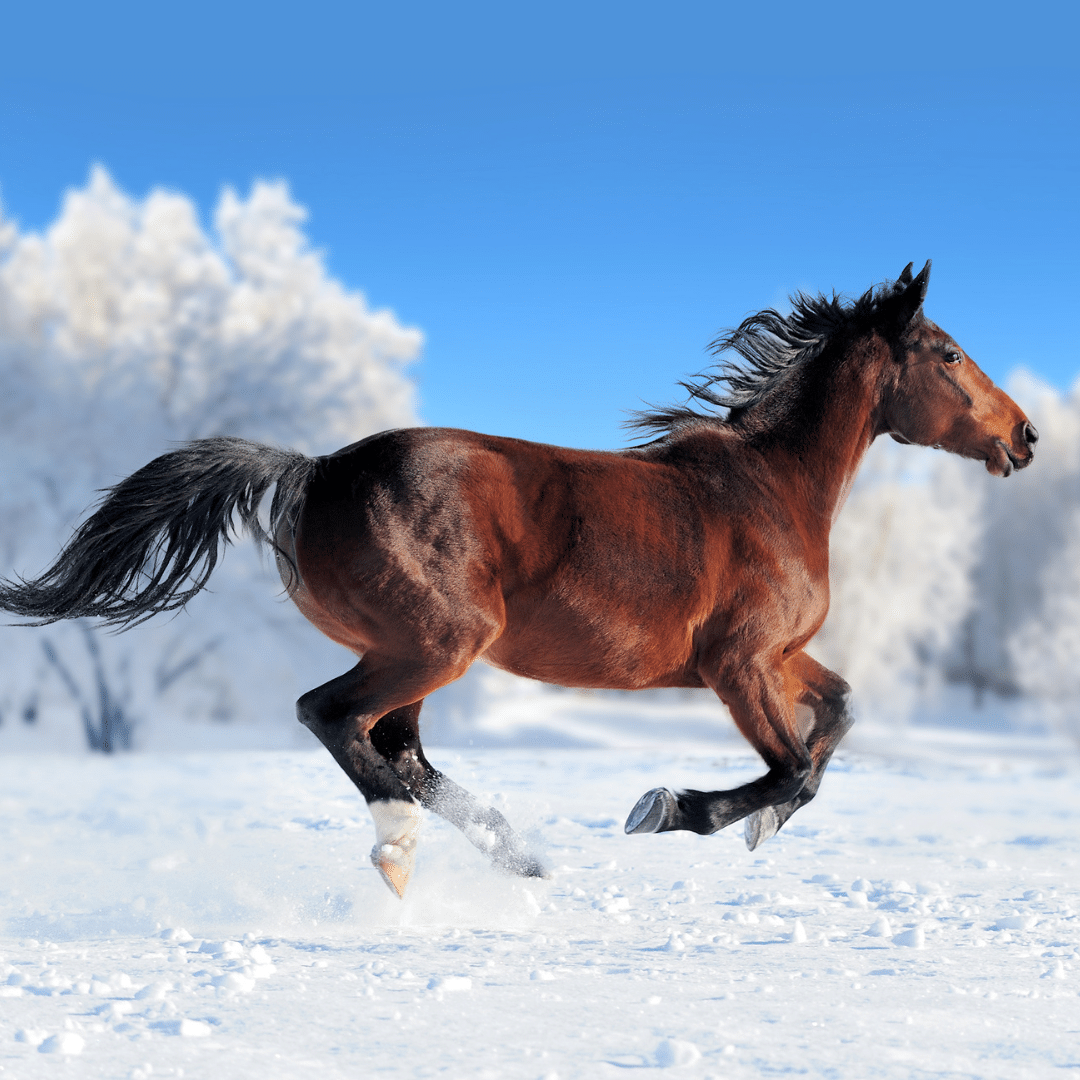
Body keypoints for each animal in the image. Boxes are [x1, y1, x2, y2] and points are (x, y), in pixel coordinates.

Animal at [4, 259, 1041, 894]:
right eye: (949, 353)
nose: (1026, 435)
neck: (771, 487)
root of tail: (315, 471)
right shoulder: (738, 664)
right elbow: (790, 765)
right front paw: (670, 809)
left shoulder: (782, 658)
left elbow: (839, 720)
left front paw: (759, 827)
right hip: (435, 643)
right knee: (334, 719)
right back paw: (432, 847)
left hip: (415, 653)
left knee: (397, 748)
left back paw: (503, 854)